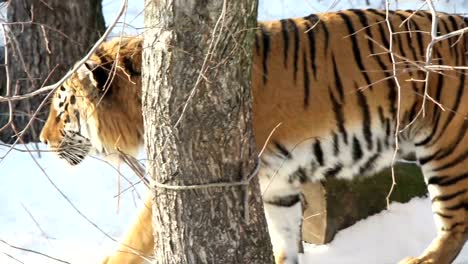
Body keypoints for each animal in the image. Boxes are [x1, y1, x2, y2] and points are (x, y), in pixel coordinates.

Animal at [40, 8, 468, 264]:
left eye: (62, 109)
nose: (42, 140)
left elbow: (139, 234)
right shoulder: (277, 179)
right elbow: (285, 233)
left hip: (448, 149)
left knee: (455, 225)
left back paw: (419, 260)